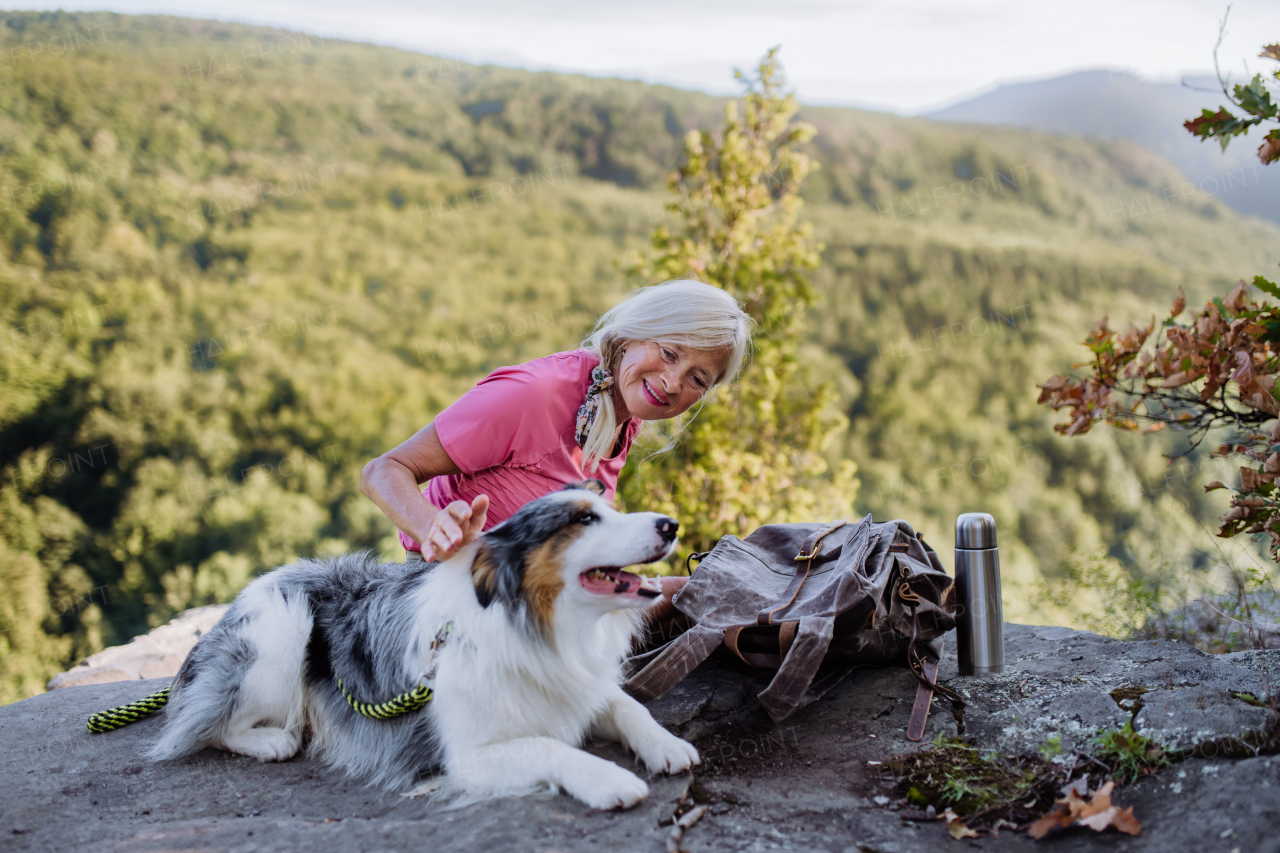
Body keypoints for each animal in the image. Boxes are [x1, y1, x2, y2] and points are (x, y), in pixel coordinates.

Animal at [148, 479, 701, 804]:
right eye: (584, 519)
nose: (670, 524)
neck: (538, 625)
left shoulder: (575, 682)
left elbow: (628, 706)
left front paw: (668, 745)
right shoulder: (469, 754)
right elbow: (550, 747)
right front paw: (611, 781)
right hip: (281, 629)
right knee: (204, 723)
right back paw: (270, 740)